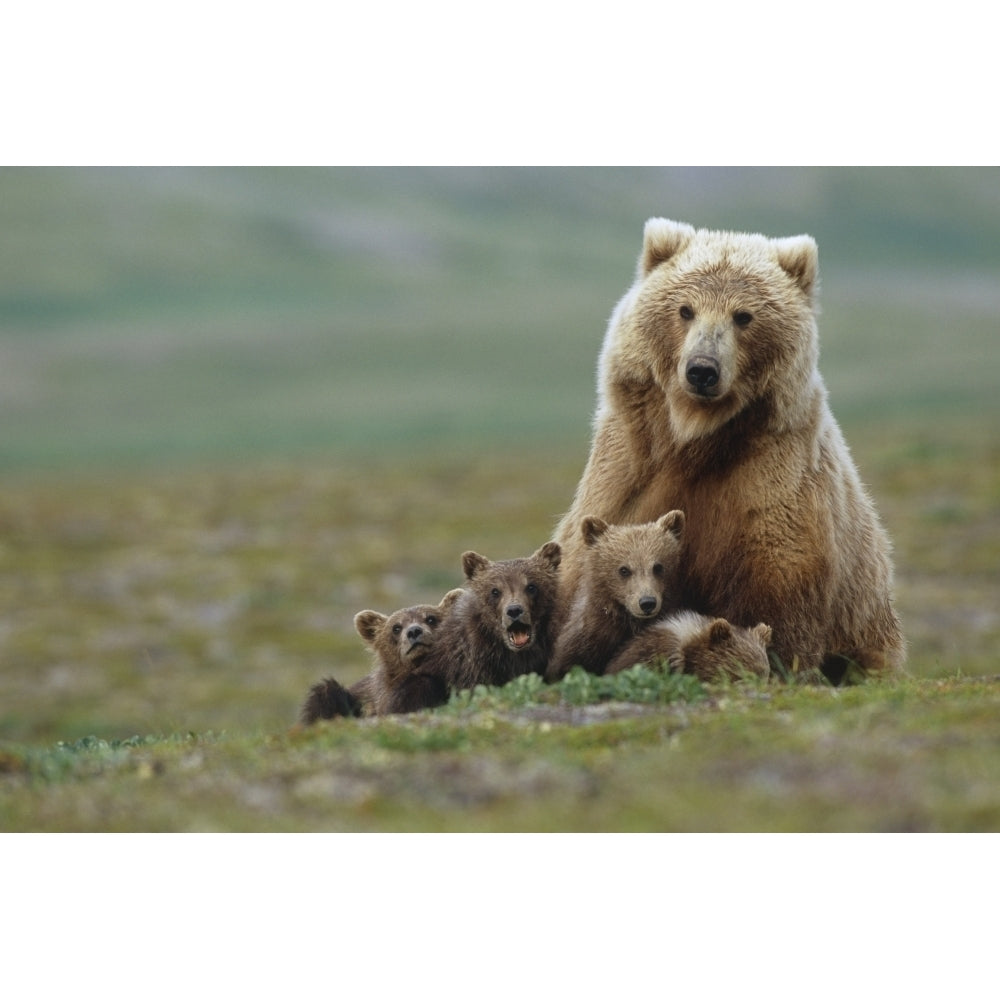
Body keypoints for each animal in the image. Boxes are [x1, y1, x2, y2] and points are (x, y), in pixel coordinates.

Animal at [556, 220, 908, 684]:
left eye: (744, 316)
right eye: (685, 309)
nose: (702, 369)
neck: (696, 438)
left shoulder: (770, 482)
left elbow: (777, 596)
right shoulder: (627, 470)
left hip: (869, 623)